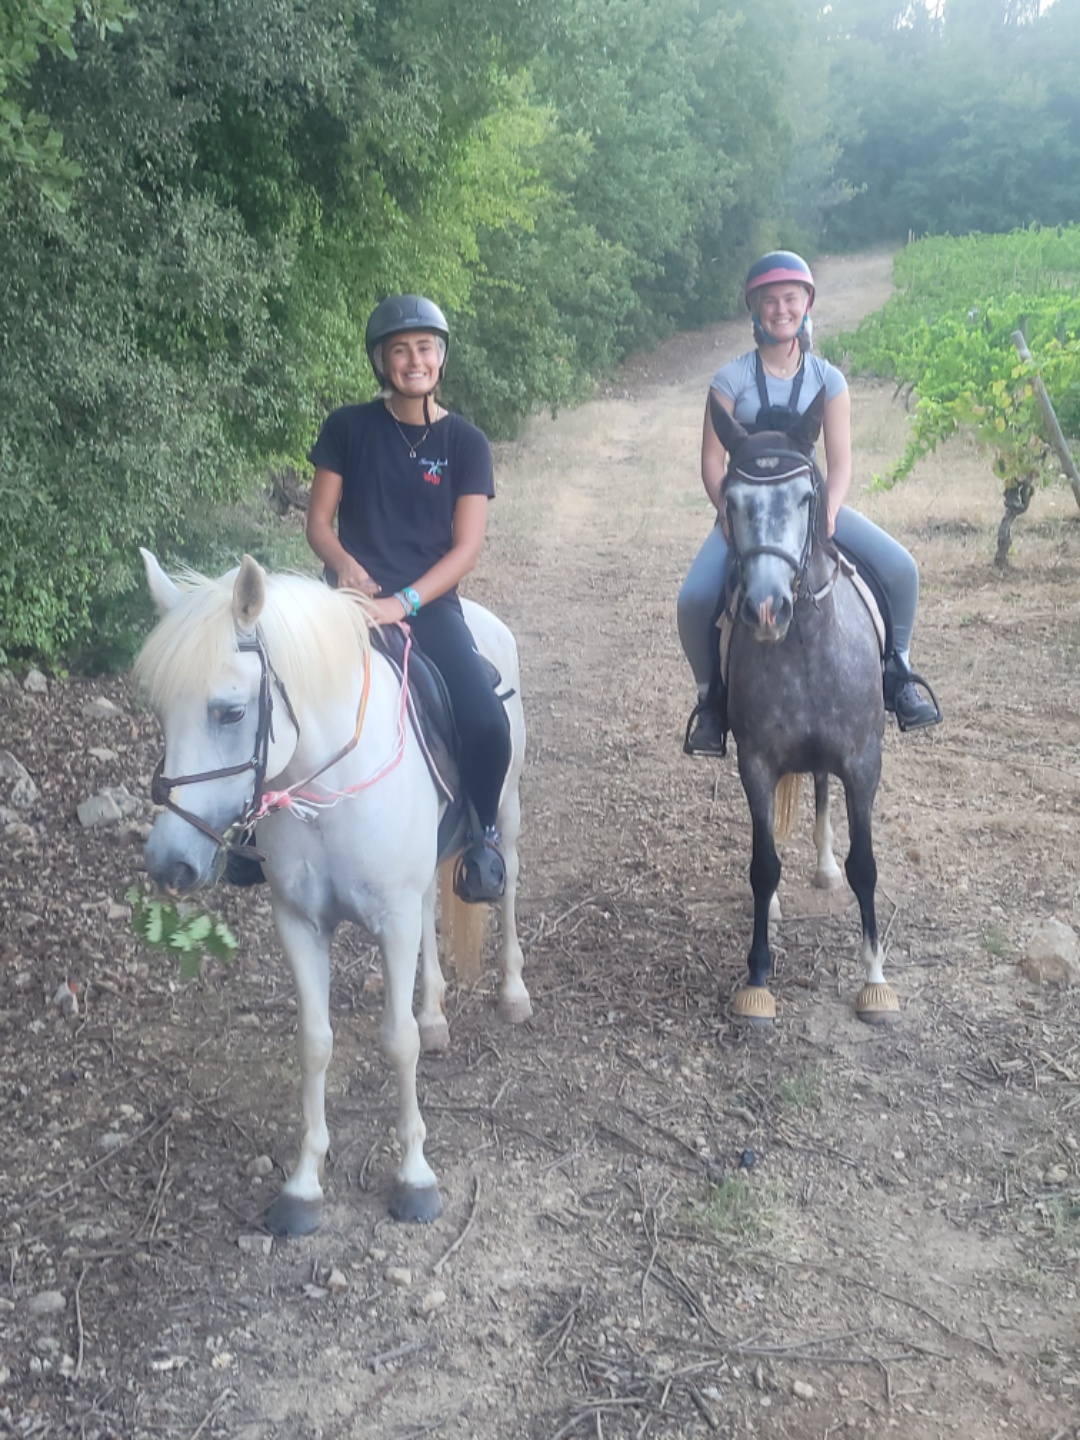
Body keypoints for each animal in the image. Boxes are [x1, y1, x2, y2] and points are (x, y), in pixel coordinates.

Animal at [133, 549, 531, 1234]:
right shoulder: (299, 922)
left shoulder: (391, 922)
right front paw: (303, 1185)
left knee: (503, 885)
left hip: (504, 814)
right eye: (161, 712)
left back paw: (512, 991)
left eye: (229, 711)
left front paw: (415, 1177)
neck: (331, 787)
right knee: (430, 912)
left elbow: (396, 1041)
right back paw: (434, 1012)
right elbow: (315, 1044)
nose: (169, 863)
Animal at [709, 389, 898, 1026]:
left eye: (806, 496)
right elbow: (763, 863)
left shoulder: (863, 762)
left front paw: (874, 980)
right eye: (733, 501)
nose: (767, 610)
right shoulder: (756, 763)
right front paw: (757, 980)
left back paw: (823, 867)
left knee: (820, 788)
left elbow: (865, 865)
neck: (806, 651)